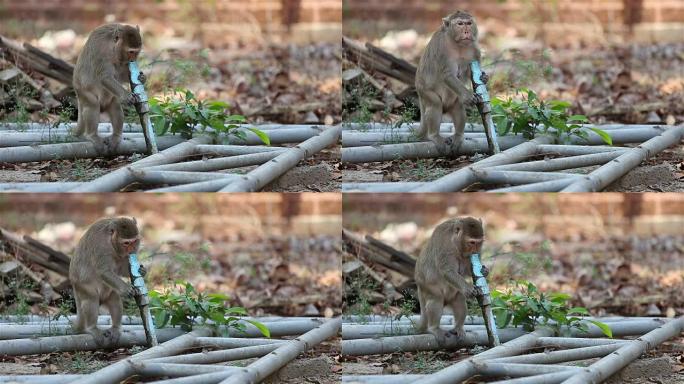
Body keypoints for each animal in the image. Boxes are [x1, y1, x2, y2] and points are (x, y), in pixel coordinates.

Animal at [69, 218, 141, 346]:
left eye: (134, 241)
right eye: (126, 243)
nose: (133, 249)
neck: (111, 243)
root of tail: (73, 284)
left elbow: (123, 268)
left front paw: (142, 269)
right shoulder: (101, 246)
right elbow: (104, 271)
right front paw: (126, 289)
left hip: (108, 293)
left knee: (115, 299)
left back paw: (116, 328)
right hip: (83, 288)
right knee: (91, 300)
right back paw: (91, 328)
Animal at [73, 22, 144, 153]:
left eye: (137, 52)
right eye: (131, 52)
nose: (133, 60)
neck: (112, 47)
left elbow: (123, 74)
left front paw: (142, 77)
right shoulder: (101, 51)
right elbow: (105, 77)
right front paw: (127, 96)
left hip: (110, 100)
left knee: (115, 106)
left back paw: (116, 136)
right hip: (83, 93)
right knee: (92, 105)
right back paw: (92, 136)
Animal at [412, 218, 486, 346]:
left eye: (479, 242)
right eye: (472, 243)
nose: (476, 251)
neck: (456, 243)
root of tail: (419, 286)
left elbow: (469, 268)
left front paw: (485, 271)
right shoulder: (445, 245)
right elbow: (447, 271)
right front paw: (468, 288)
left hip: (453, 295)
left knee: (459, 300)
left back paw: (458, 328)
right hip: (427, 289)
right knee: (435, 301)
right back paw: (434, 328)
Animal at [414, 10, 484, 154]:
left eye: (469, 23)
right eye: (460, 24)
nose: (466, 31)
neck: (458, 44)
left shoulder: (474, 48)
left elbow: (470, 73)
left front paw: (484, 77)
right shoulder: (441, 48)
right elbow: (447, 75)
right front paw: (469, 96)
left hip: (452, 101)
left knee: (458, 107)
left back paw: (458, 135)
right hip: (424, 92)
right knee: (435, 104)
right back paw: (434, 136)